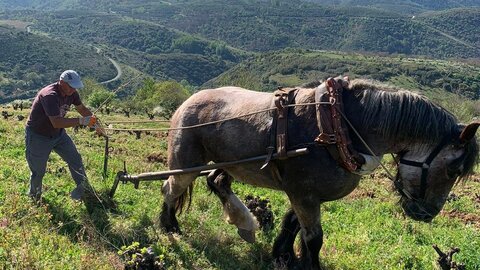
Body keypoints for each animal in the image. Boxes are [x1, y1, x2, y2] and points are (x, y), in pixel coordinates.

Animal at [159, 77, 478, 268]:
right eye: (453, 168)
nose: (427, 214)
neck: (340, 125)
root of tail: (188, 101)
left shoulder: (304, 193)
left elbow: (291, 224)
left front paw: (283, 255)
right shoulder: (305, 193)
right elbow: (314, 238)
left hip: (228, 163)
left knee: (217, 181)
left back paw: (244, 223)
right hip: (186, 162)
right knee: (171, 188)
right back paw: (169, 226)